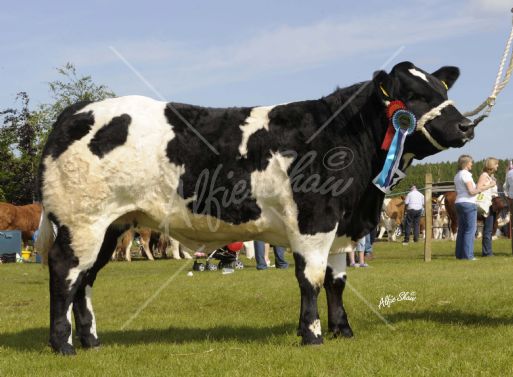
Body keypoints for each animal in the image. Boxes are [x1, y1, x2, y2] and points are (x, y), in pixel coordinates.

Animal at [38, 61, 478, 352]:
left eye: (443, 91)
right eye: (415, 96)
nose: (466, 126)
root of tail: (77, 110)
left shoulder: (342, 228)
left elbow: (337, 281)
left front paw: (343, 330)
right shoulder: (314, 221)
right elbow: (311, 279)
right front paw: (312, 335)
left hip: (110, 226)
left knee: (85, 278)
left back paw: (92, 341)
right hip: (82, 220)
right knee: (64, 271)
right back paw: (63, 344)